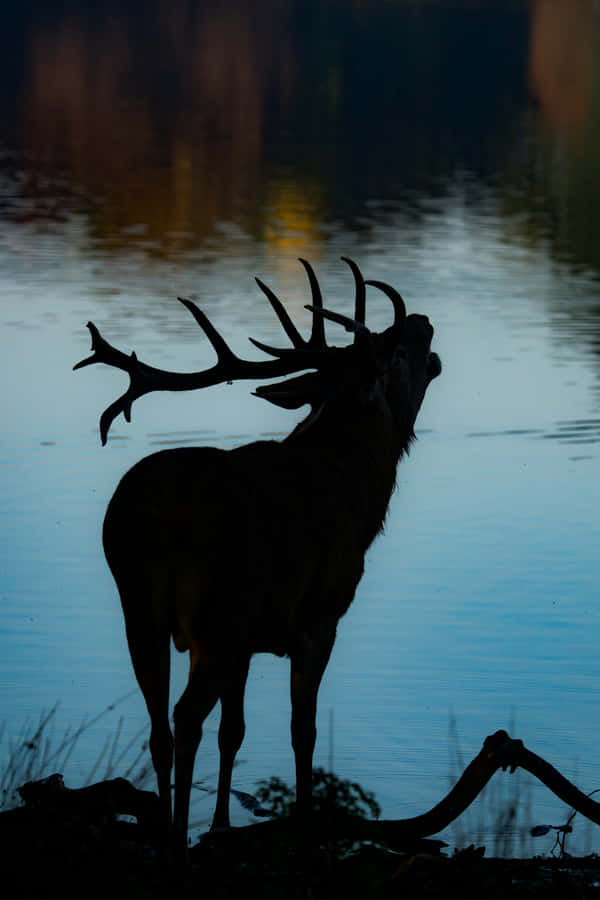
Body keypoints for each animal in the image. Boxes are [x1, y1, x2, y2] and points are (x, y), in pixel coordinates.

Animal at [74, 257, 441, 848]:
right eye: (396, 351)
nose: (423, 322)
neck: (359, 492)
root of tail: (154, 518)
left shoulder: (249, 640)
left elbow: (235, 730)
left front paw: (222, 825)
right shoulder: (319, 615)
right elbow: (302, 730)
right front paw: (305, 821)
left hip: (141, 609)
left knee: (159, 725)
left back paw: (169, 828)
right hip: (216, 612)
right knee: (184, 717)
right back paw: (175, 837)